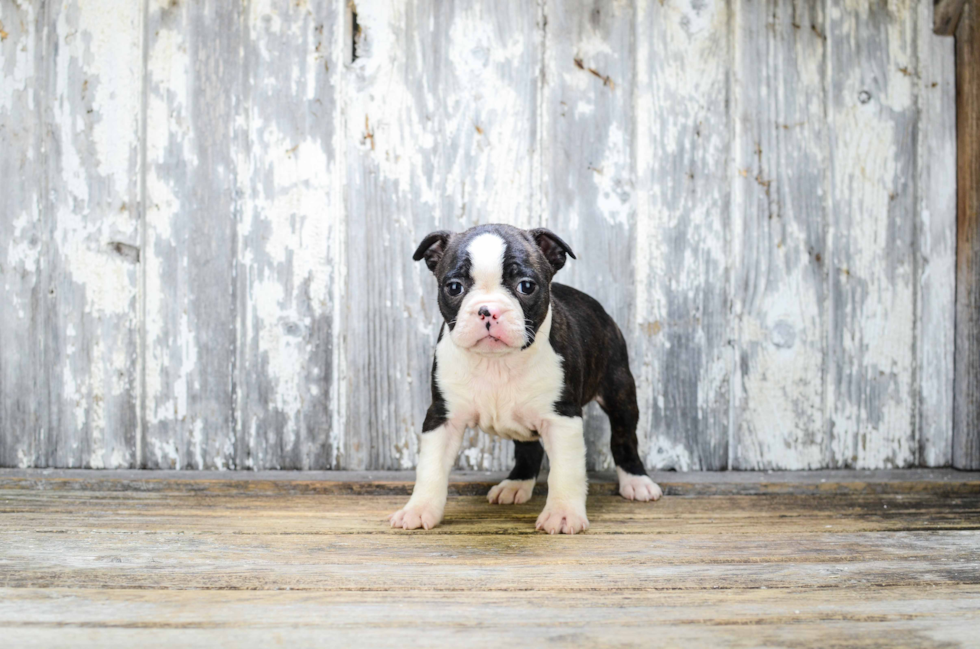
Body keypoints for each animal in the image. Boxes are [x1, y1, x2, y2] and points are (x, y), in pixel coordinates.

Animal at [386, 223, 664, 532]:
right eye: (454, 287)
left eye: (526, 286)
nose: (488, 309)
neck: (496, 363)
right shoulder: (442, 418)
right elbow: (430, 468)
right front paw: (418, 509)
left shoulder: (561, 418)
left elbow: (565, 471)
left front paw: (563, 514)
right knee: (529, 449)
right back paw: (516, 484)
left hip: (620, 390)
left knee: (624, 437)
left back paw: (637, 481)